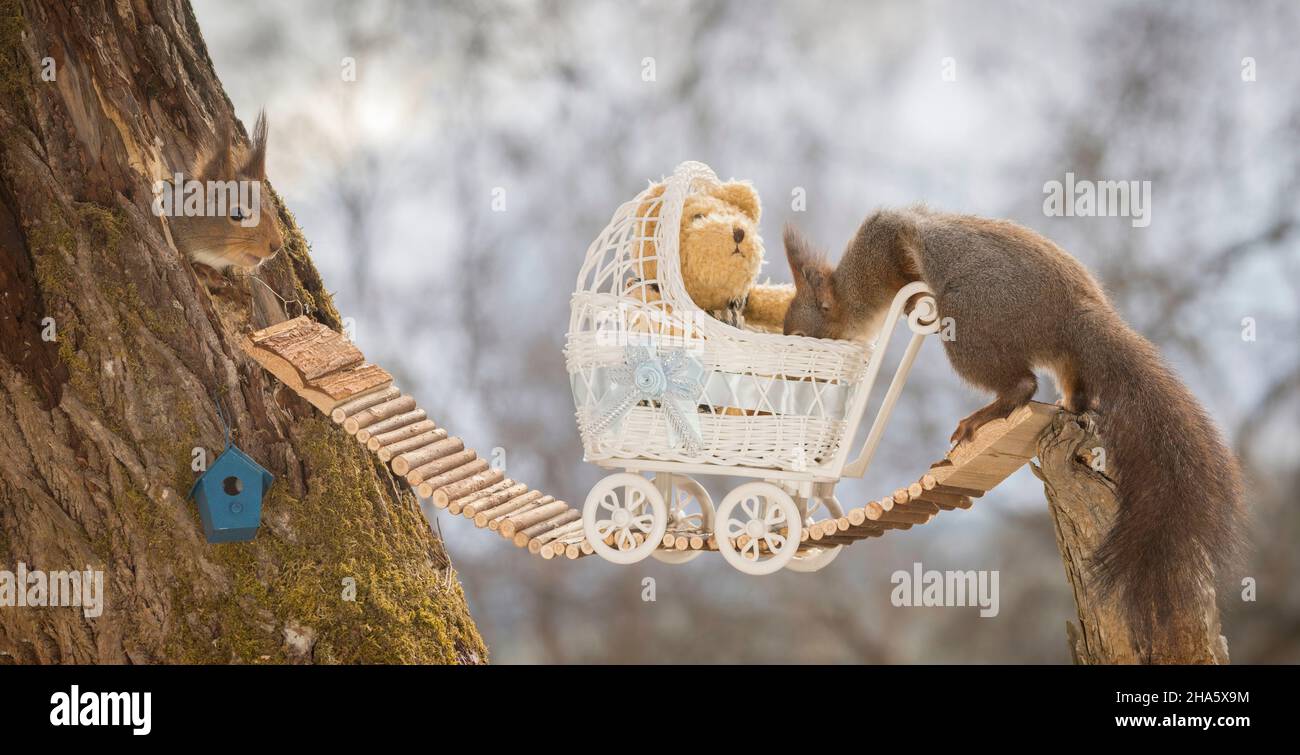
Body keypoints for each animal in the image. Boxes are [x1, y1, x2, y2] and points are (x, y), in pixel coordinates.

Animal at [780, 207, 1248, 641]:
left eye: (803, 334)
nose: (796, 375)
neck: (853, 287)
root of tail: (1072, 311)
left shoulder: (886, 243)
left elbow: (907, 262)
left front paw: (912, 300)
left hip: (969, 325)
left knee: (1023, 383)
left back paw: (986, 413)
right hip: (1052, 353)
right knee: (1075, 385)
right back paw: (1069, 403)